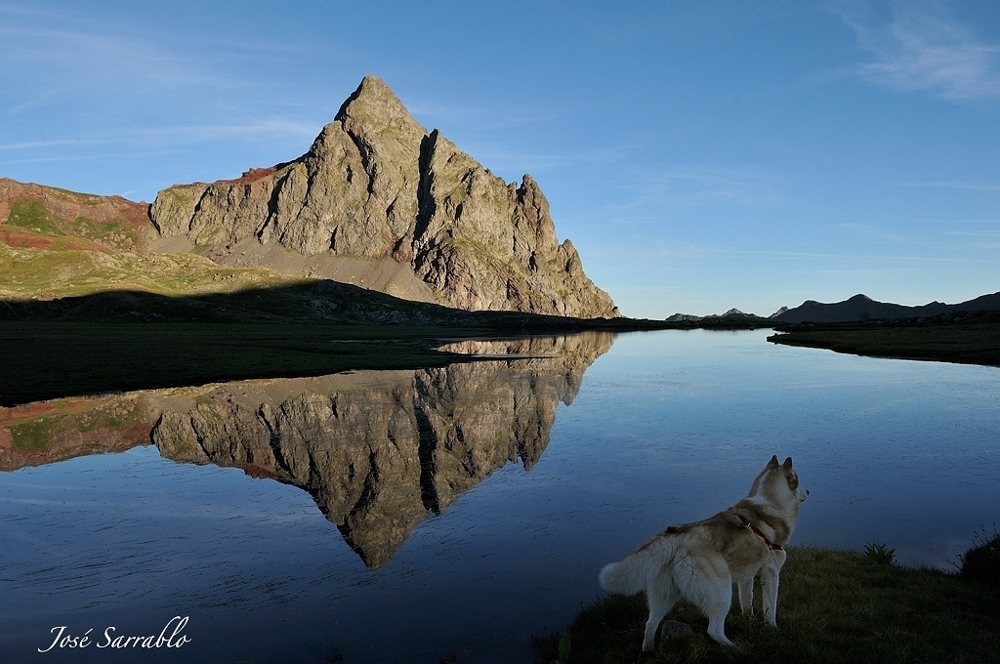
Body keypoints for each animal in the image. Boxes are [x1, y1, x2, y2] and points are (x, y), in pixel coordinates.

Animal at [600, 456, 804, 648]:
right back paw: (734, 648)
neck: (770, 503)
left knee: (650, 624)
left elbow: (748, 603)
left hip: (665, 595)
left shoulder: (746, 576)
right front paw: (772, 628)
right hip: (722, 592)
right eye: (798, 481)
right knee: (713, 630)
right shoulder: (771, 573)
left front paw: (750, 621)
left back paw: (649, 650)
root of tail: (679, 536)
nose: (808, 492)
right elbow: (771, 608)